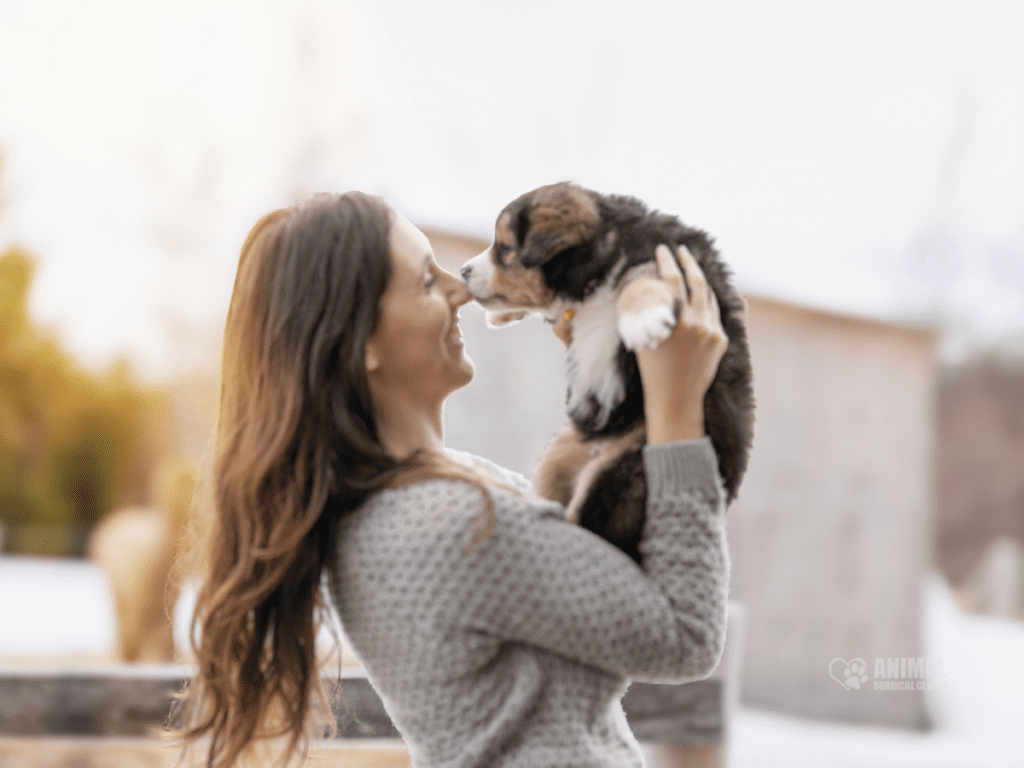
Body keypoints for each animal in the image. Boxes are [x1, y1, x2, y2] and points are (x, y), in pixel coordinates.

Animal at [462, 182, 753, 565]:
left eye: (506, 248)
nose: (463, 271)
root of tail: (597, 449)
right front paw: (500, 315)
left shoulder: (670, 261)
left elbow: (640, 279)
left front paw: (643, 322)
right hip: (560, 452)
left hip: (623, 471)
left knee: (590, 528)